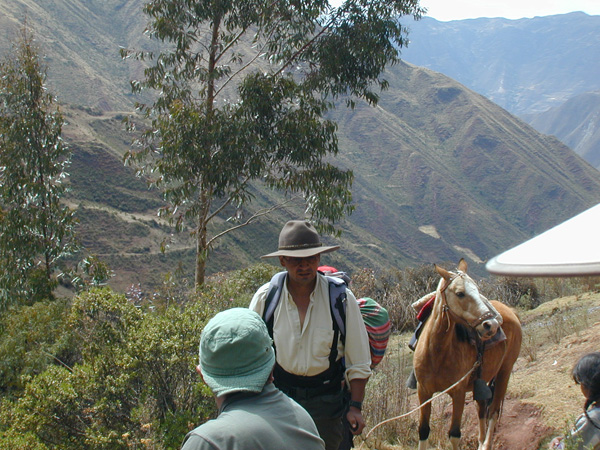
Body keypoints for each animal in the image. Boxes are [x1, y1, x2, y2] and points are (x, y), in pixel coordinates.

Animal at [412, 258, 520, 450]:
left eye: (477, 289)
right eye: (460, 293)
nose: (491, 324)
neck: (436, 353)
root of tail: (511, 311)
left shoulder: (459, 392)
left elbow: (454, 434)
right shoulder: (423, 391)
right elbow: (423, 431)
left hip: (505, 372)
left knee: (493, 411)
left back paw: (486, 444)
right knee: (482, 408)